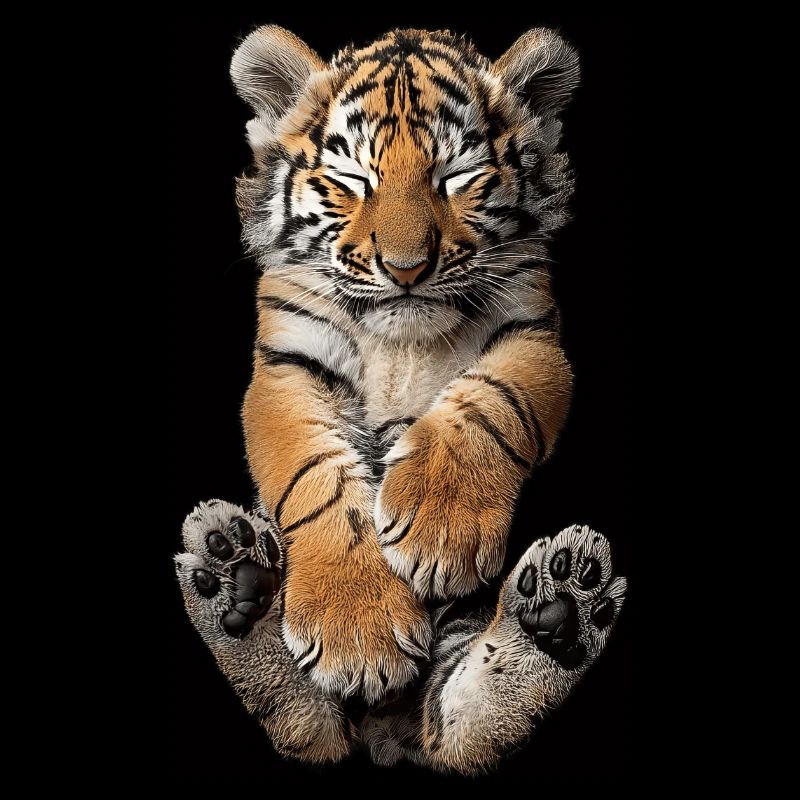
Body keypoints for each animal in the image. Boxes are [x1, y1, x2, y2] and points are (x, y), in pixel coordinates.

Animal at [175, 25, 627, 774]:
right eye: (354, 181)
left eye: (457, 178)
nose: (406, 268)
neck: (401, 338)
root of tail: (387, 736)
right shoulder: (286, 365)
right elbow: (315, 473)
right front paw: (356, 630)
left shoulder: (533, 335)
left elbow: (489, 404)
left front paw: (441, 532)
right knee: (311, 726)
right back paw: (233, 581)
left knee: (464, 728)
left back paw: (564, 606)